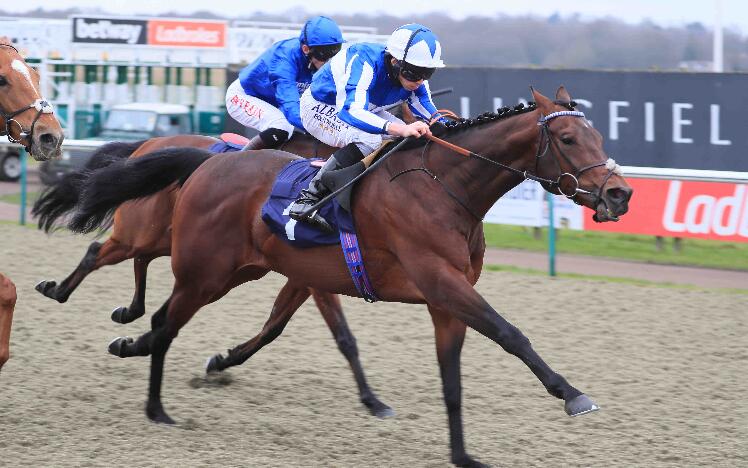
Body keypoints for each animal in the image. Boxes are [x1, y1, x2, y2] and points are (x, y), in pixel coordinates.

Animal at [68, 87, 632, 464]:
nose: (620, 193)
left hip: (232, 272)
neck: (443, 188)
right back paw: (154, 405)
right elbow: (510, 333)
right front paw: (571, 394)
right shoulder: (437, 281)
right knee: (153, 306)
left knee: (161, 314)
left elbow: (451, 380)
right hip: (202, 269)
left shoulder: (442, 297)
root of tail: (206, 165)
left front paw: (461, 455)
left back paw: (131, 344)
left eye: (597, 134)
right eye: (567, 137)